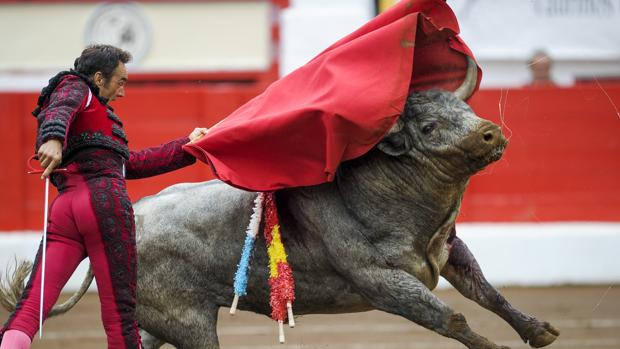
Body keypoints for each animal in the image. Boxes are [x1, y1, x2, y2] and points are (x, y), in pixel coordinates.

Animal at [2, 59, 560, 348]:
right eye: (427, 127)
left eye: (462, 107)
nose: (491, 133)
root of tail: (135, 213)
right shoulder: (383, 284)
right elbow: (453, 320)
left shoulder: (449, 251)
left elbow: (487, 293)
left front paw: (539, 331)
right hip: (188, 323)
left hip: (155, 319)